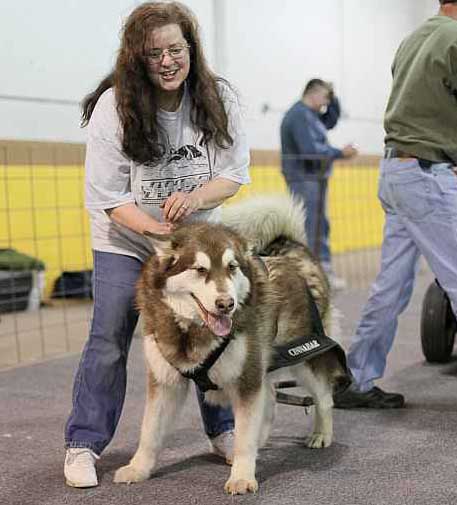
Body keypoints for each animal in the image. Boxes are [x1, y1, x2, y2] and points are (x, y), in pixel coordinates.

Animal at [114, 195, 350, 494]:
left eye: (232, 267)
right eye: (200, 269)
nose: (226, 304)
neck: (192, 331)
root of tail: (291, 250)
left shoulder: (247, 380)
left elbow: (244, 437)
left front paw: (242, 476)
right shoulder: (164, 382)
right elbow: (149, 431)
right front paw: (138, 468)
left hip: (304, 359)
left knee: (323, 397)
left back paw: (321, 433)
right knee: (271, 396)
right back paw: (262, 440)